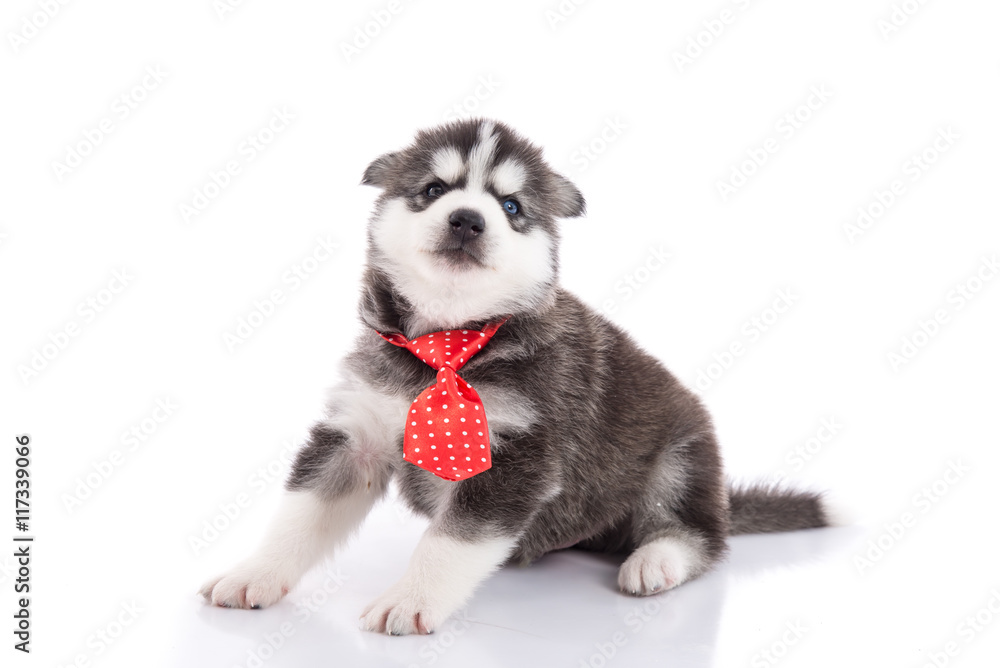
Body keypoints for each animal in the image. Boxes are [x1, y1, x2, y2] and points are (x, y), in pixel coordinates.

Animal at [197, 117, 828, 636]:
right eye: (434, 190)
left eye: (512, 206)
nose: (467, 220)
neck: (446, 345)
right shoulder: (356, 434)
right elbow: (299, 516)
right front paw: (254, 573)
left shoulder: (518, 457)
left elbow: (446, 543)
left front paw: (410, 600)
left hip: (681, 456)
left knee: (699, 535)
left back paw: (656, 560)